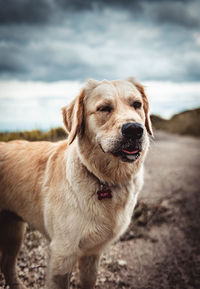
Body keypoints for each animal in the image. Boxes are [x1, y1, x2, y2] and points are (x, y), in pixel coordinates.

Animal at [0, 77, 153, 288]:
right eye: (104, 108)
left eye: (137, 104)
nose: (134, 130)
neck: (105, 179)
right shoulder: (62, 253)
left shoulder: (92, 253)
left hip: (13, 230)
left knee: (7, 264)